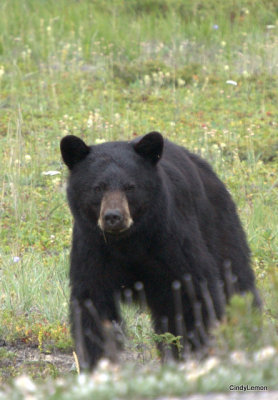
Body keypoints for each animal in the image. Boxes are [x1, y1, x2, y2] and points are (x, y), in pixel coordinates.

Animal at [60, 131, 260, 368]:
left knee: (236, 280)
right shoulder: (93, 248)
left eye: (130, 186)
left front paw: (192, 352)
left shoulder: (170, 240)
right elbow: (94, 304)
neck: (128, 242)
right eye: (98, 187)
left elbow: (192, 293)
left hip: (218, 225)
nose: (113, 217)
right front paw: (98, 361)